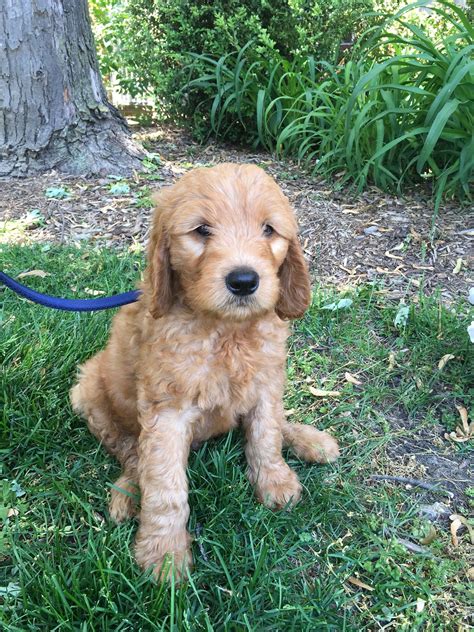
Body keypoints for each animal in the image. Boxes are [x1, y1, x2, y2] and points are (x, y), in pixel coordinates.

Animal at [70, 163, 338, 584]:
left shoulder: (266, 381)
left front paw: (274, 480)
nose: (244, 281)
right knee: (130, 453)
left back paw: (309, 440)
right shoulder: (166, 411)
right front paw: (164, 555)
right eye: (201, 230)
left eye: (268, 230)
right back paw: (128, 493)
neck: (226, 330)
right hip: (88, 391)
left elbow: (266, 433)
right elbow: (164, 484)